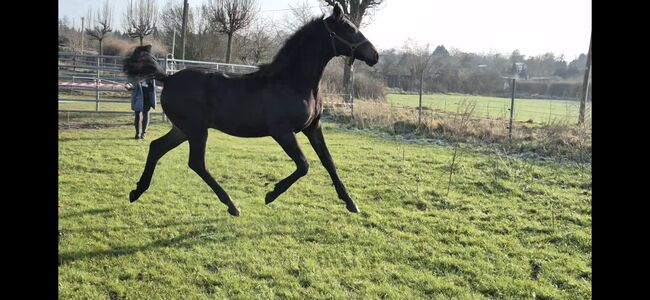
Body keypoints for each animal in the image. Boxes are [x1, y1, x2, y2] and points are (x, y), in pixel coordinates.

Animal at [123, 4, 374, 216]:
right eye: (350, 29)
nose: (374, 55)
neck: (292, 81)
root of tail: (168, 78)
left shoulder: (313, 127)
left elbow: (328, 161)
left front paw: (351, 203)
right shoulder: (282, 132)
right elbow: (303, 164)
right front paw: (271, 194)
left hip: (183, 129)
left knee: (157, 148)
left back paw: (136, 191)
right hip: (196, 130)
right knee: (196, 163)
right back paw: (232, 205)